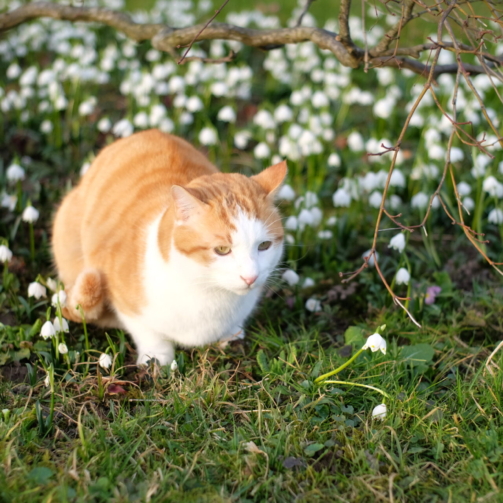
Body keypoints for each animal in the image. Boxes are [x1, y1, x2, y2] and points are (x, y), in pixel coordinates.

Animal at [52, 130, 288, 366]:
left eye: (264, 245)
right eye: (222, 249)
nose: (250, 277)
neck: (207, 291)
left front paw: (231, 336)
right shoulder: (123, 299)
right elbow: (146, 330)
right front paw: (156, 357)